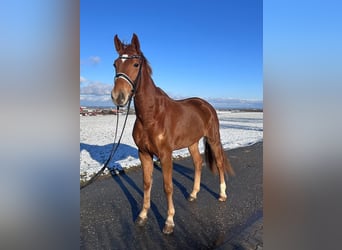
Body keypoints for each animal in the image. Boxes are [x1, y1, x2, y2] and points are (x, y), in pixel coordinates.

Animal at [112, 33, 235, 234]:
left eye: (136, 64)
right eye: (115, 64)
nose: (118, 96)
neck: (151, 115)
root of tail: (205, 105)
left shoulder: (165, 154)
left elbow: (167, 187)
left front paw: (169, 221)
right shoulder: (144, 153)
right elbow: (147, 183)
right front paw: (142, 216)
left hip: (213, 139)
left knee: (219, 163)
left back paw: (222, 194)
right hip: (192, 143)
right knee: (198, 163)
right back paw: (193, 194)